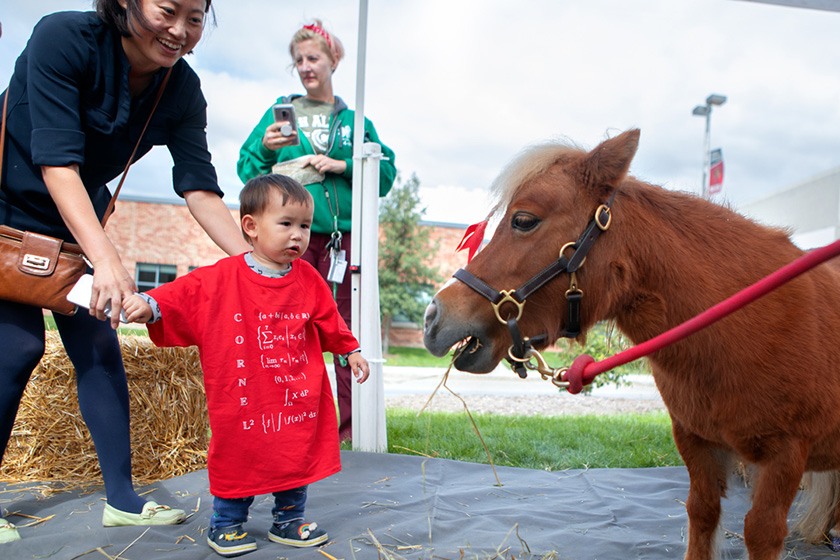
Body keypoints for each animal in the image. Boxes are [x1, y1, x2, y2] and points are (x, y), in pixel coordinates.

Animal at [424, 129, 840, 556]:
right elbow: (701, 512)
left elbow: (761, 531)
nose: (434, 316)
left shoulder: (785, 457)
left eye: (524, 220)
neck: (744, 327)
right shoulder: (696, 442)